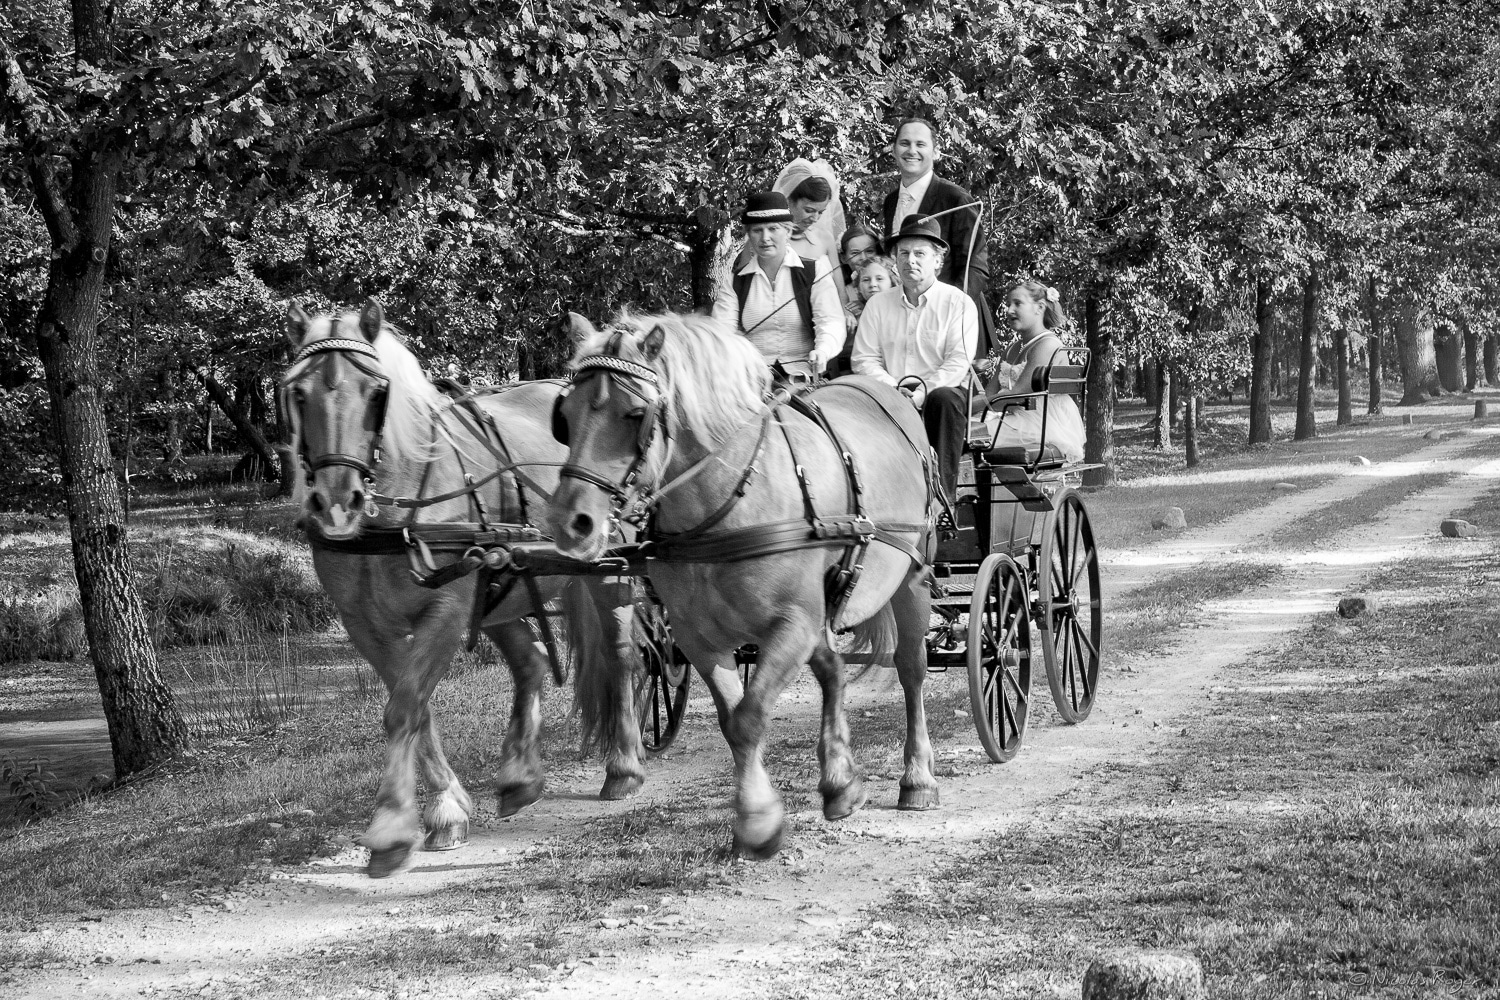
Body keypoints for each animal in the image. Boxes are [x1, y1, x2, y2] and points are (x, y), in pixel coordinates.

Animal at [283, 299, 648, 875]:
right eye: (299, 393)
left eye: (376, 392)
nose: (337, 502)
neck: (400, 507)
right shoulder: (365, 626)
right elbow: (415, 710)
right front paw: (445, 810)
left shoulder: (448, 611)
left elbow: (405, 707)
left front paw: (392, 830)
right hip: (502, 588)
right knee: (531, 663)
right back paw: (521, 778)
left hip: (610, 572)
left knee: (622, 656)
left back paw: (624, 769)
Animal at [546, 313, 942, 863]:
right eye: (564, 416)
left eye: (635, 414)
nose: (572, 522)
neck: (725, 503)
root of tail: (896, 393)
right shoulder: (700, 638)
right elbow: (733, 722)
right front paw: (758, 817)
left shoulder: (792, 624)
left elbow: (750, 718)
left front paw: (758, 824)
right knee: (833, 670)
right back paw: (840, 783)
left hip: (911, 578)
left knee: (910, 671)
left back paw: (918, 778)